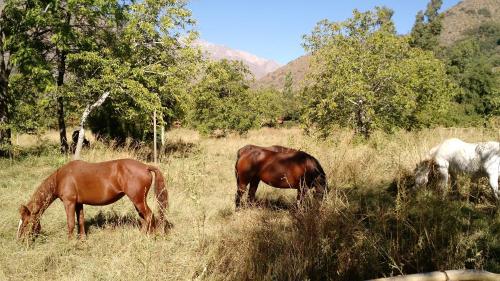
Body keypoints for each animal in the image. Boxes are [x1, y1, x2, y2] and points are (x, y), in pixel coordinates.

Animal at [16, 159, 169, 237]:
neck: (61, 178)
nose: (20, 241)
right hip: (138, 201)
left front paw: (70, 243)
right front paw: (82, 239)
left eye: (25, 223)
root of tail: (146, 167)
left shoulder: (69, 203)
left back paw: (143, 236)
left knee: (149, 215)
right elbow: (81, 221)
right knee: (145, 217)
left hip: (137, 200)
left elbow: (71, 223)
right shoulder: (78, 204)